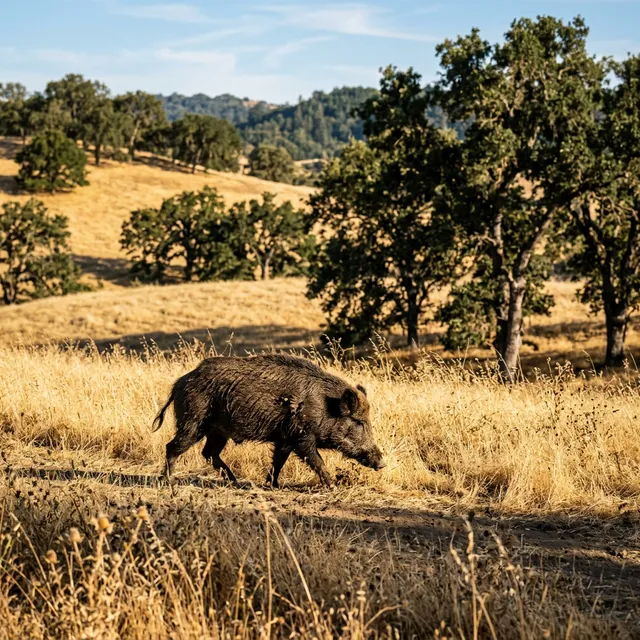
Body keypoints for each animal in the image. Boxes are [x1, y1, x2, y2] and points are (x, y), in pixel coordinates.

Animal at [152, 353, 385, 487]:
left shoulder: (285, 439)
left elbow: (278, 462)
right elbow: (317, 460)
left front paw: (272, 485)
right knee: (173, 446)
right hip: (193, 420)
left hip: (218, 431)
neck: (325, 407)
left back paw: (236, 482)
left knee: (209, 453)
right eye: (359, 422)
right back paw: (169, 481)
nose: (382, 463)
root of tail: (180, 382)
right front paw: (332, 486)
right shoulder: (302, 437)